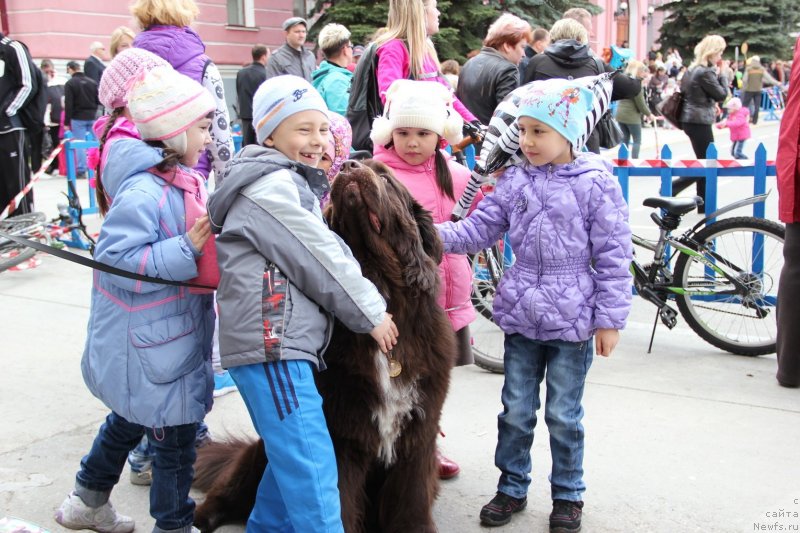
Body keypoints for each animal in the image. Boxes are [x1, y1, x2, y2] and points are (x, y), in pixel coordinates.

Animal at [193, 159, 456, 532]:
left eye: (385, 177)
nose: (350, 163)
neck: (379, 283)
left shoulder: (418, 437)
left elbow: (411, 502)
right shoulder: (340, 436)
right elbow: (338, 500)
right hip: (258, 457)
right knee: (227, 491)